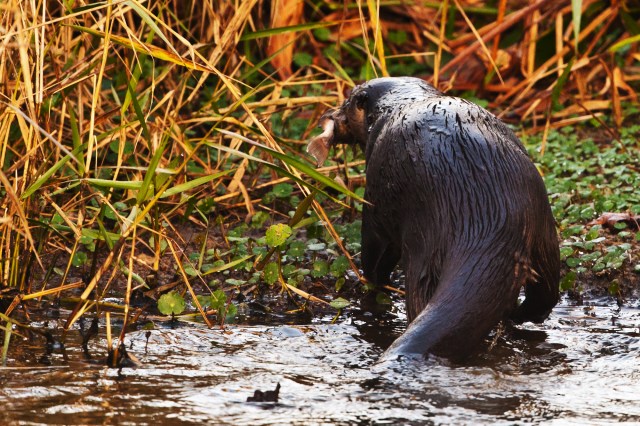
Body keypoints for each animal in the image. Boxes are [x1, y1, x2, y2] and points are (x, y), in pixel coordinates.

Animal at [308, 77, 560, 359]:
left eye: (348, 101)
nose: (331, 115)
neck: (399, 105)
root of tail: (488, 218)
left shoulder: (375, 198)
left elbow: (374, 257)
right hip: (543, 231)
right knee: (546, 293)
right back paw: (517, 316)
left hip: (426, 248)